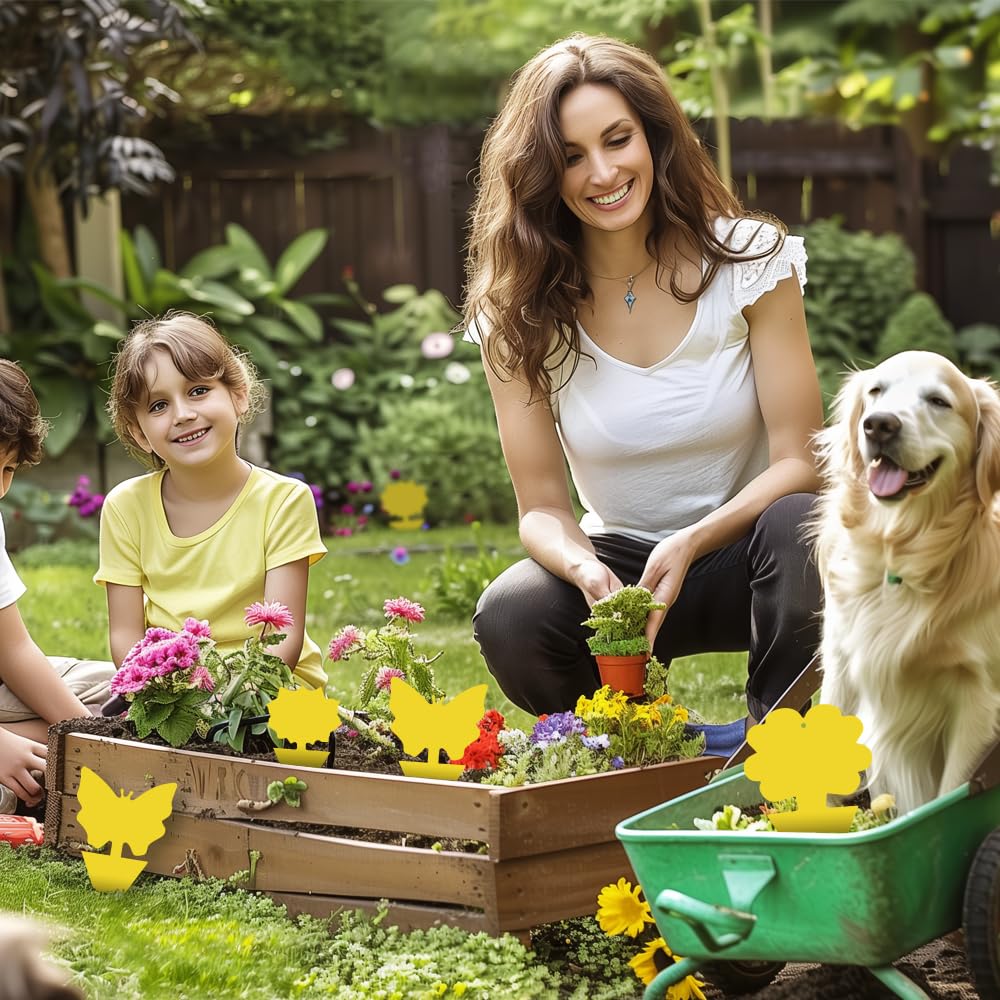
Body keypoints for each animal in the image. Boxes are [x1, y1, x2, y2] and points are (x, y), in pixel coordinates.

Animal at [812, 350, 1000, 812]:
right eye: (876, 391)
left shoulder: (979, 699)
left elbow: (952, 793)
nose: (879, 424)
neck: (898, 552)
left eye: (938, 401)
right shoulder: (840, 665)